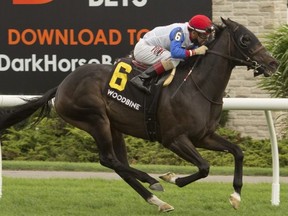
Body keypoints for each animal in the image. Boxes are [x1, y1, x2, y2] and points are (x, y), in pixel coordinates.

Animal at [0, 18, 280, 211]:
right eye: (245, 39)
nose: (274, 63)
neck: (196, 86)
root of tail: (62, 85)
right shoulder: (174, 139)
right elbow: (204, 167)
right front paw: (172, 177)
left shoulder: (203, 136)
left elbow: (238, 152)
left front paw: (236, 196)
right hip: (95, 120)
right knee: (108, 160)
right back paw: (152, 180)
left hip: (114, 127)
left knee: (119, 165)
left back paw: (156, 199)